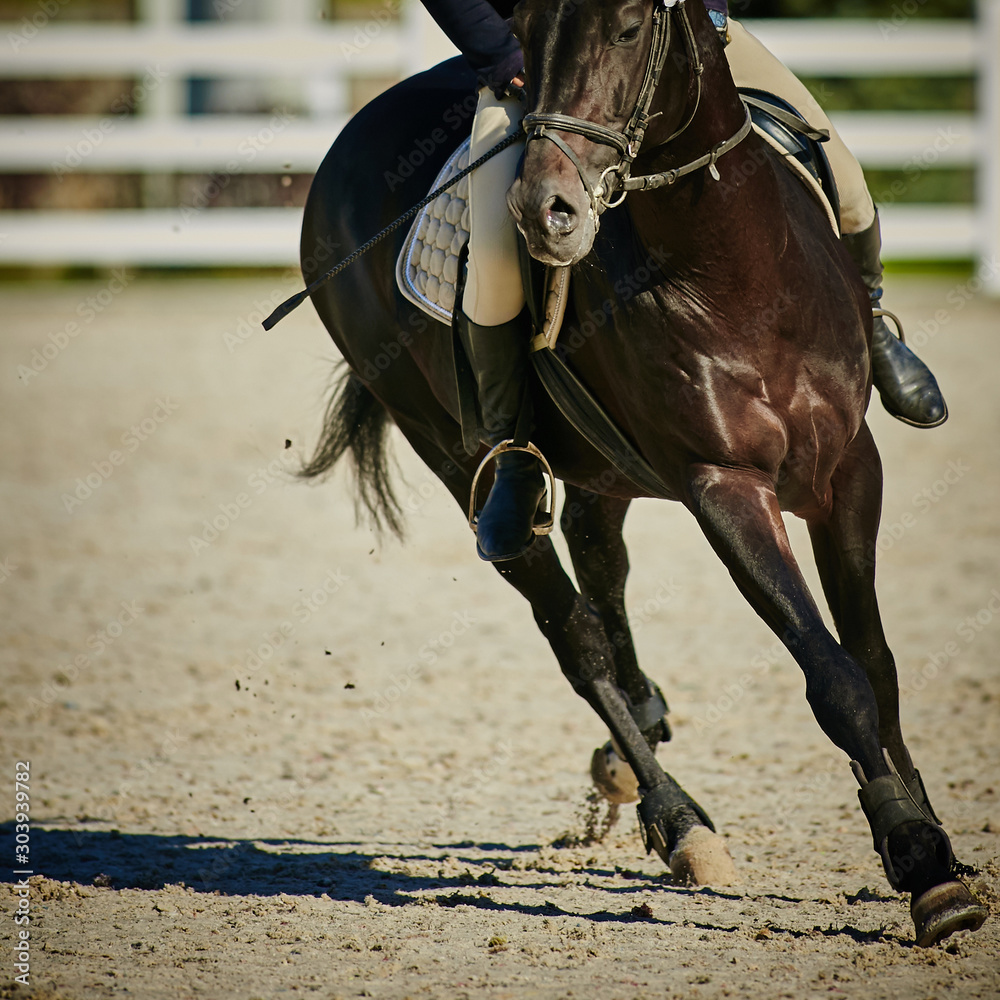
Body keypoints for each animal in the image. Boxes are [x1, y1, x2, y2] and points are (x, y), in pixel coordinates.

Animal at [295, 0, 986, 947]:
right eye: (528, 28)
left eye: (628, 29)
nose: (543, 210)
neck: (732, 267)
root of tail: (345, 142)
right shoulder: (723, 486)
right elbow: (835, 677)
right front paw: (920, 864)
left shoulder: (850, 468)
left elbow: (875, 664)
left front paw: (934, 842)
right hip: (450, 448)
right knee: (572, 630)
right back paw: (679, 820)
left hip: (603, 464)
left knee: (601, 560)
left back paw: (642, 730)